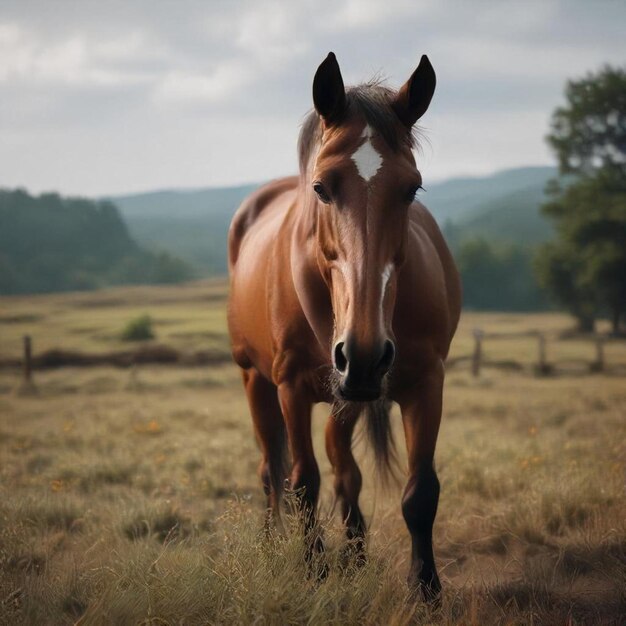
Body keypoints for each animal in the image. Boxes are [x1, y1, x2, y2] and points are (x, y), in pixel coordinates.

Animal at [227, 51, 460, 596]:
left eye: (412, 188)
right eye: (321, 188)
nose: (366, 353)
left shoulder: (424, 383)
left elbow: (420, 490)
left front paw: (425, 587)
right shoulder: (292, 386)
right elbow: (302, 482)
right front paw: (312, 570)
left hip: (344, 395)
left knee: (343, 467)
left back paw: (355, 554)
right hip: (256, 380)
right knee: (271, 470)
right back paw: (272, 544)